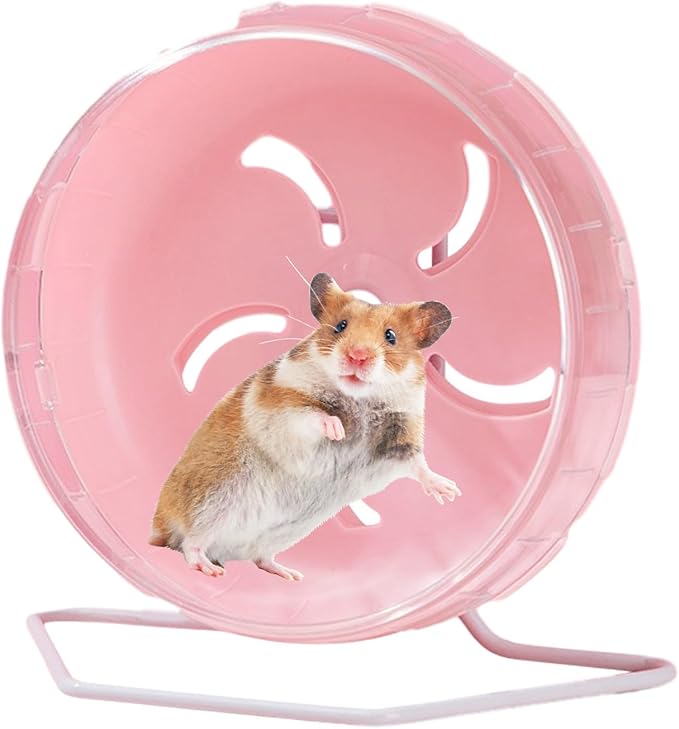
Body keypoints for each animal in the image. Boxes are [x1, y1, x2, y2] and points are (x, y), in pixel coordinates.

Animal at [149, 272, 460, 580]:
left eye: (391, 336)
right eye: (340, 326)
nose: (357, 356)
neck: (359, 399)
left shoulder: (400, 439)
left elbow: (418, 465)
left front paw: (450, 492)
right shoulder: (283, 406)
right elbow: (313, 415)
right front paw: (338, 430)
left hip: (280, 533)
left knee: (259, 558)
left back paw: (290, 574)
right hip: (210, 504)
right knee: (189, 544)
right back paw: (210, 570)